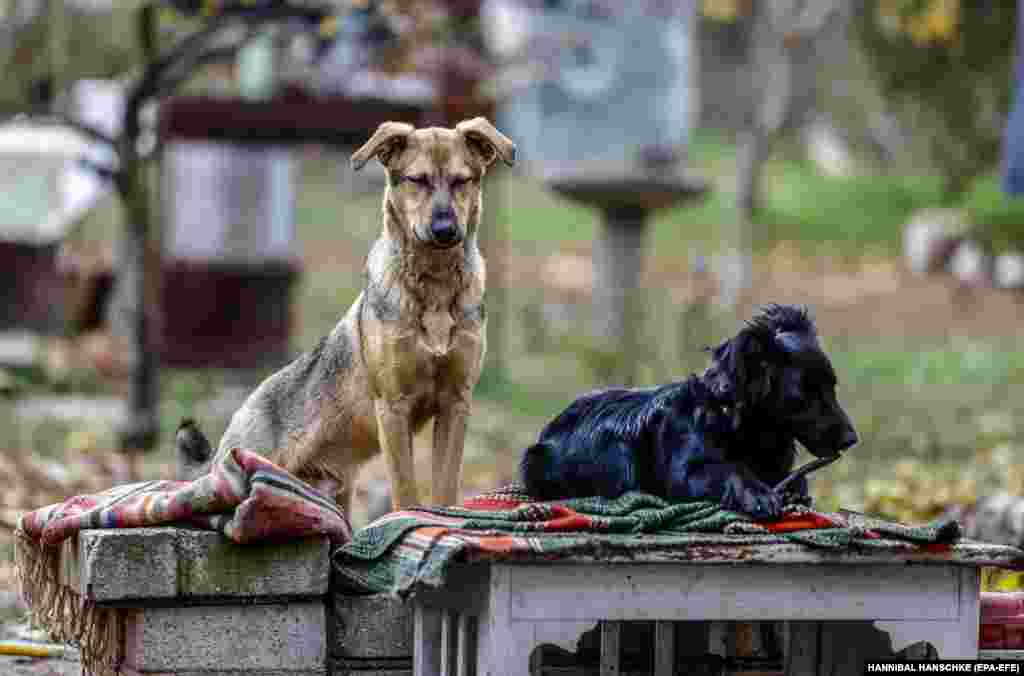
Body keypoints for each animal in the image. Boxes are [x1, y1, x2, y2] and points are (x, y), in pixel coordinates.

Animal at [178, 117, 520, 512]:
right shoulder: (393, 408)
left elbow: (445, 487)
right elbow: (405, 492)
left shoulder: (455, 404)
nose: (445, 231)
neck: (434, 288)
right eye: (417, 180)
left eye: (462, 180)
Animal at [520, 305, 856, 518]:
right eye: (803, 395)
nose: (851, 439)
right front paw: (756, 492)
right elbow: (727, 468)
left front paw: (793, 489)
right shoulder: (685, 472)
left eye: (833, 386)